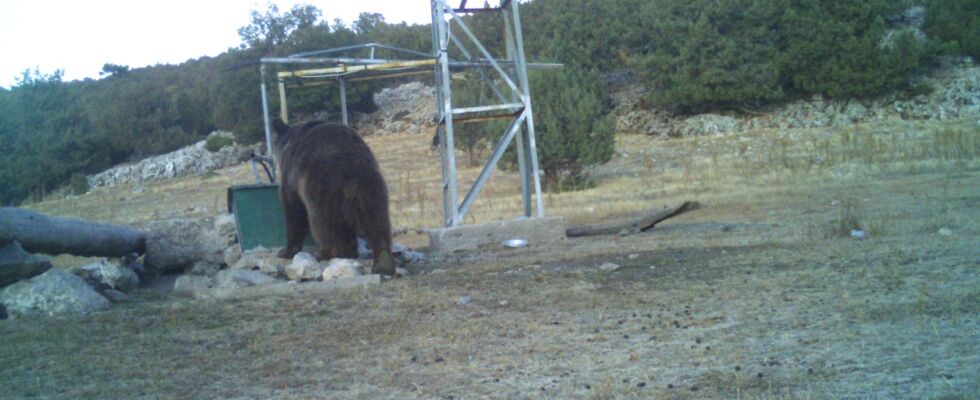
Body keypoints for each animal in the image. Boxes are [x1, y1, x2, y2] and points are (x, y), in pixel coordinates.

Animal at [270, 119, 396, 276]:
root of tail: (350, 163)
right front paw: (349, 251)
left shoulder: (292, 178)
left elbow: (294, 210)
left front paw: (286, 251)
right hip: (370, 187)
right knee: (377, 222)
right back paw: (383, 263)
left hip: (320, 186)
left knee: (321, 222)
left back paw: (322, 253)